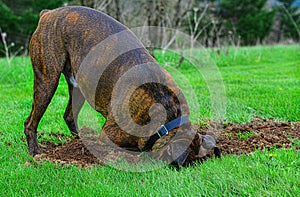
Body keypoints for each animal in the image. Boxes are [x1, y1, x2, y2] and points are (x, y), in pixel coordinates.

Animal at [24, 6, 220, 166]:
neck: (166, 109)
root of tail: (49, 14)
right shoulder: (108, 136)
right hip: (47, 81)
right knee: (30, 122)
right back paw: (35, 151)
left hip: (78, 86)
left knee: (69, 116)